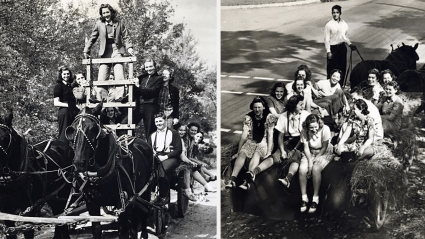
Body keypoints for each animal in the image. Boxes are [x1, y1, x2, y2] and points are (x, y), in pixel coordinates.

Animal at [0, 109, 73, 239]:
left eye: (5, 138)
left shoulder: (29, 211)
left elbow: (28, 231)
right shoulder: (7, 212)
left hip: (64, 190)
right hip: (52, 195)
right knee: (57, 213)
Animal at [65, 104, 153, 239]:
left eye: (93, 129)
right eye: (71, 130)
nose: (79, 163)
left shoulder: (123, 205)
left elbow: (123, 231)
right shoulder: (92, 204)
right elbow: (96, 230)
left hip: (145, 190)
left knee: (144, 212)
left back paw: (144, 232)